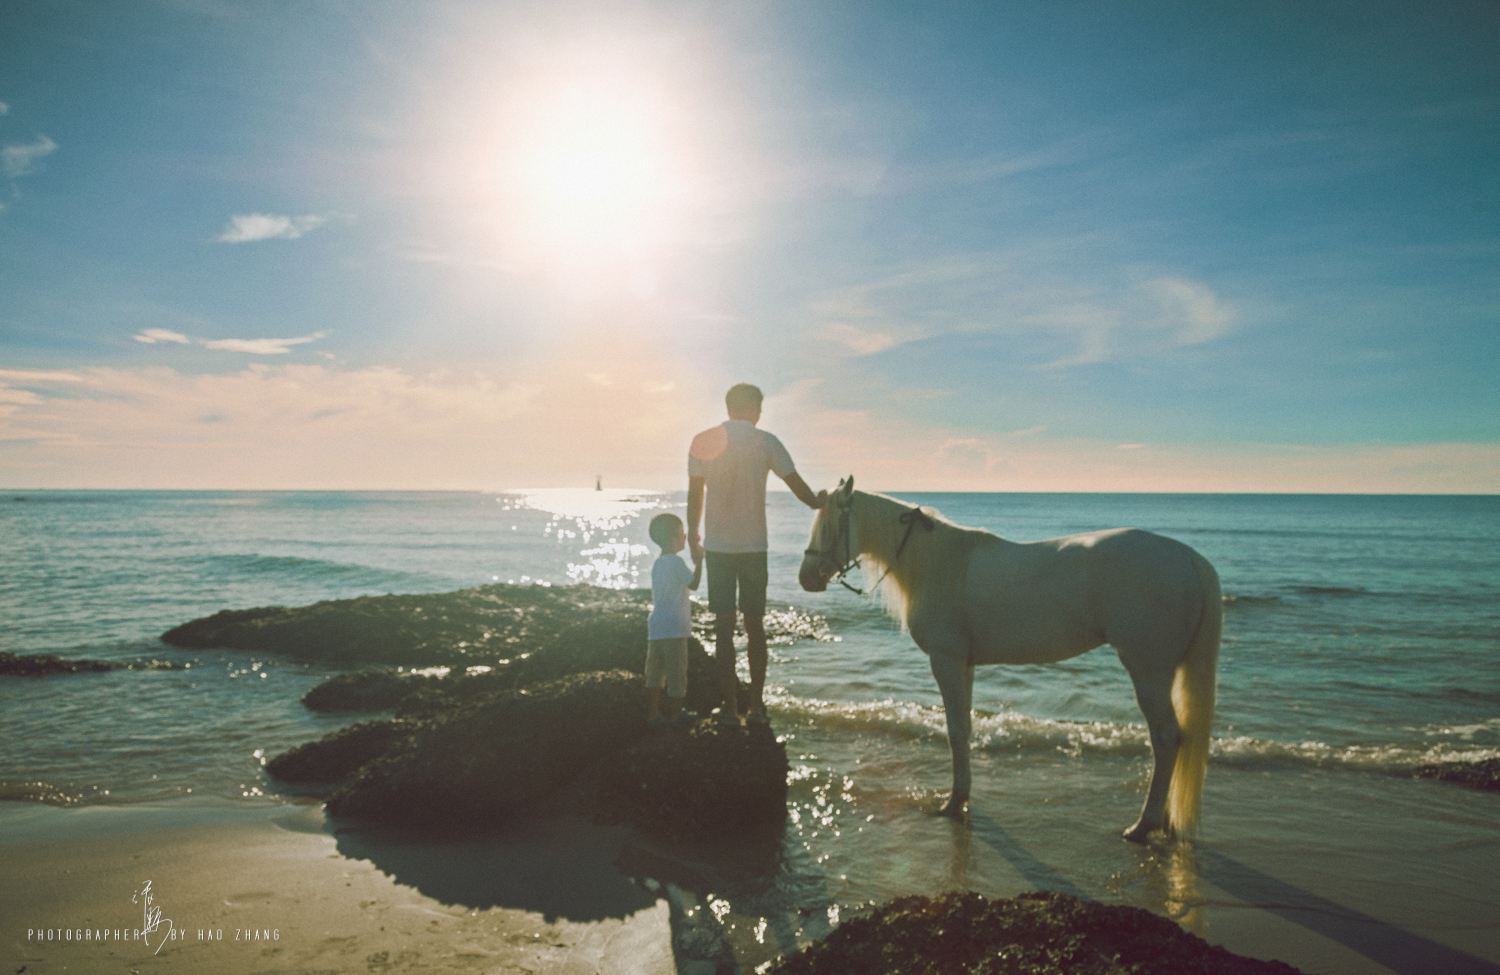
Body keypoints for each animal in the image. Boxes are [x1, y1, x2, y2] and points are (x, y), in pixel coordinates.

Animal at [798, 474, 1218, 840]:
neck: (938, 563)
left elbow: (955, 731)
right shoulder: (964, 665)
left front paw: (953, 803)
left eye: (831, 523)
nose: (806, 578)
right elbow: (965, 730)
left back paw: (1144, 825)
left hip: (1148, 670)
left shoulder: (946, 661)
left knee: (1166, 738)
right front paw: (961, 797)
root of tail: (1188, 558)